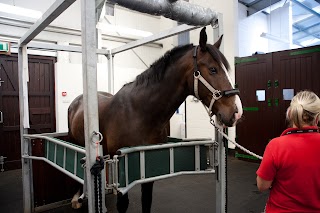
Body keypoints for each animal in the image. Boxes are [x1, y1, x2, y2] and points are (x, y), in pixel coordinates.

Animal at [68, 27, 242, 212]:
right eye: (213, 69)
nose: (237, 112)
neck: (139, 113)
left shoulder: (147, 167)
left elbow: (147, 201)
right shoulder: (122, 170)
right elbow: (123, 204)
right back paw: (77, 198)